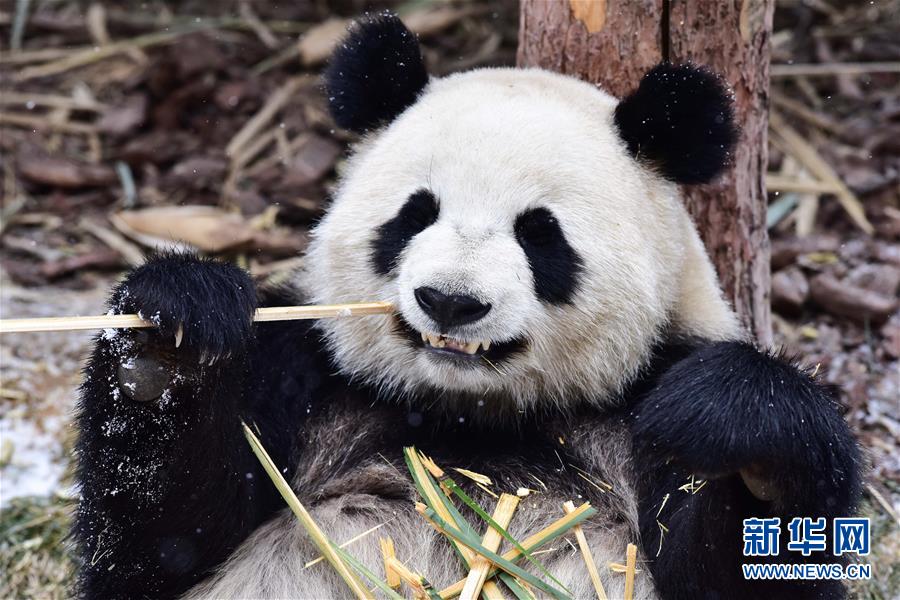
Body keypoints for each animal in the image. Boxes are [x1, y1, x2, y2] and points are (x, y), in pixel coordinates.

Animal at [74, 14, 860, 600]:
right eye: (415, 215)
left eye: (540, 234)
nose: (450, 302)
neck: (467, 414)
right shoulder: (307, 378)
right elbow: (160, 546)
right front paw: (167, 345)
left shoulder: (634, 402)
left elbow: (738, 560)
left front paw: (738, 430)